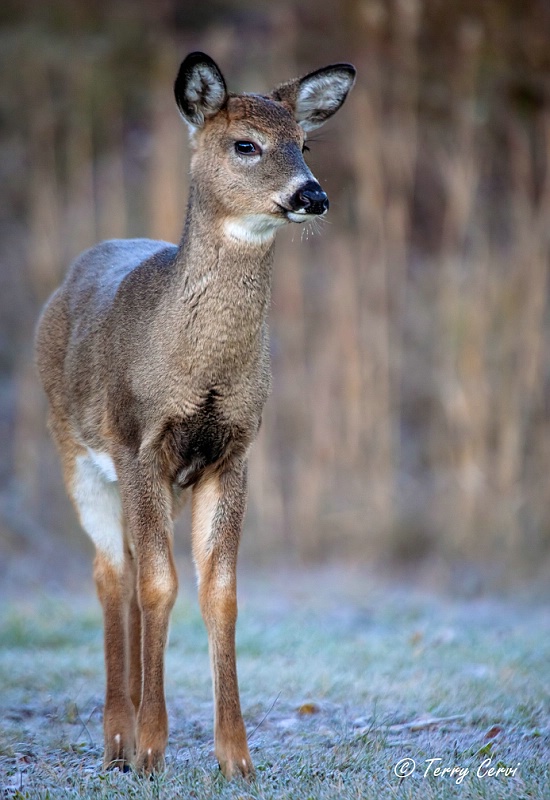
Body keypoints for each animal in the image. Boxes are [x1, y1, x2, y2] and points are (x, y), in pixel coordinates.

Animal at [36, 53, 358, 780]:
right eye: (245, 144)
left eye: (306, 143)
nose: (313, 196)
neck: (200, 369)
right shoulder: (139, 443)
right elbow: (159, 585)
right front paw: (153, 747)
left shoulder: (232, 452)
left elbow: (220, 591)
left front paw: (235, 756)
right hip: (74, 451)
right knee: (111, 573)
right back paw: (117, 739)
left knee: (126, 569)